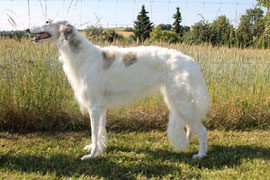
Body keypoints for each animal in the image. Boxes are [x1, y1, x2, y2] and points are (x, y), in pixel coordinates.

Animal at [26, 19, 209, 160]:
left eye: (48, 22)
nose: (27, 29)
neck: (83, 56)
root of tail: (190, 60)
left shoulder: (94, 105)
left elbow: (94, 132)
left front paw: (92, 155)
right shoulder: (101, 107)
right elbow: (99, 133)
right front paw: (98, 149)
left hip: (181, 101)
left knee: (202, 131)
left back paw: (200, 155)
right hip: (176, 101)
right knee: (191, 128)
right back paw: (185, 146)